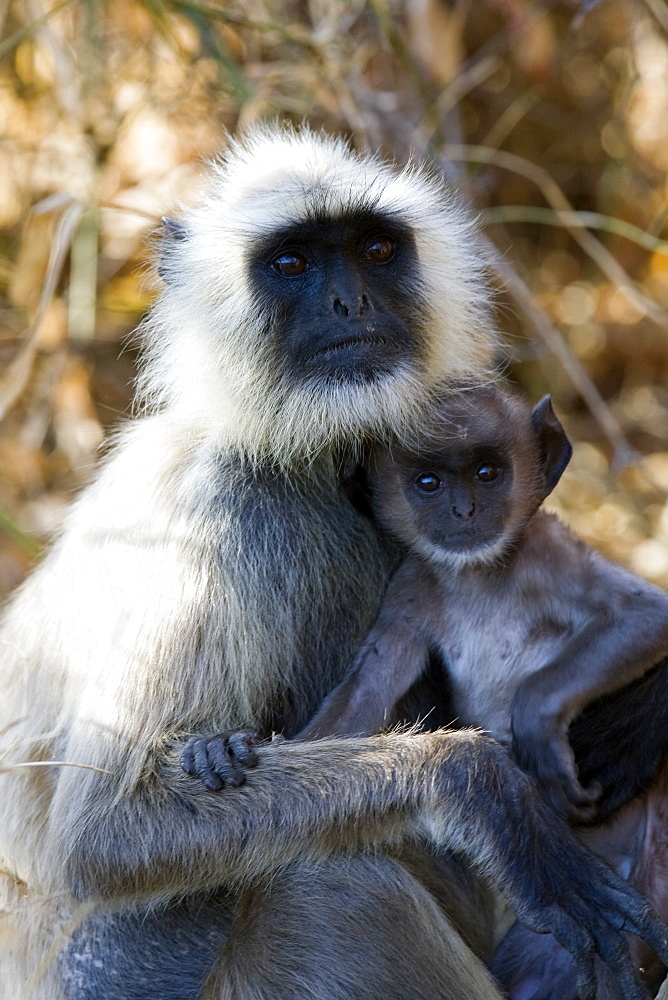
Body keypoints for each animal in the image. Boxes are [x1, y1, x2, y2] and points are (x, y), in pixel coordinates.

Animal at [300, 386, 668, 824]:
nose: (464, 510)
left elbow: (646, 614)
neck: (476, 574)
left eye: (486, 473)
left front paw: (536, 726)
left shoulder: (546, 551)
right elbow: (368, 688)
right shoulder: (410, 586)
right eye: (429, 482)